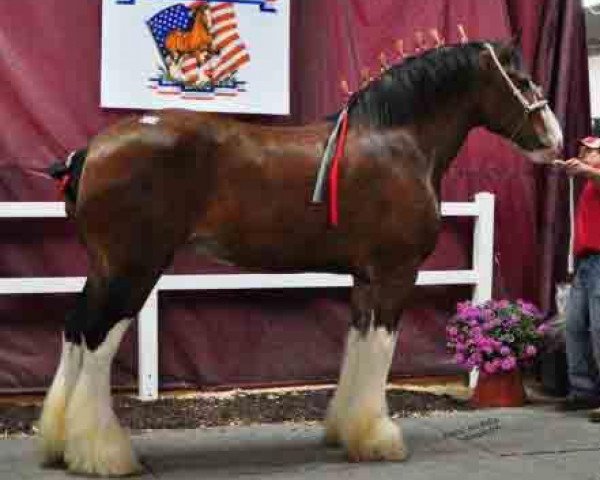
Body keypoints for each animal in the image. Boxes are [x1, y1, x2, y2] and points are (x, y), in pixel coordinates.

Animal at [37, 39, 564, 474]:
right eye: (521, 81)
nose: (555, 140)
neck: (398, 140)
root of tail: (91, 151)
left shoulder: (365, 278)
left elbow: (358, 343)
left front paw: (347, 431)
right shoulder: (396, 273)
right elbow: (382, 348)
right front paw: (380, 439)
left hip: (103, 269)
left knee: (74, 331)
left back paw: (61, 444)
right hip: (132, 269)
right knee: (97, 340)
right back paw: (102, 454)